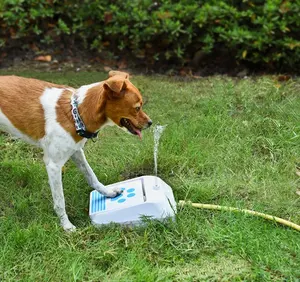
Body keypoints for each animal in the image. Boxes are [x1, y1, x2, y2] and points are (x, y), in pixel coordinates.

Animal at [0, 71, 151, 231]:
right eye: (137, 108)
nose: (150, 123)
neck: (75, 114)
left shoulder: (76, 152)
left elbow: (91, 176)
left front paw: (108, 193)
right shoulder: (53, 165)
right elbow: (60, 201)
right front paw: (66, 226)